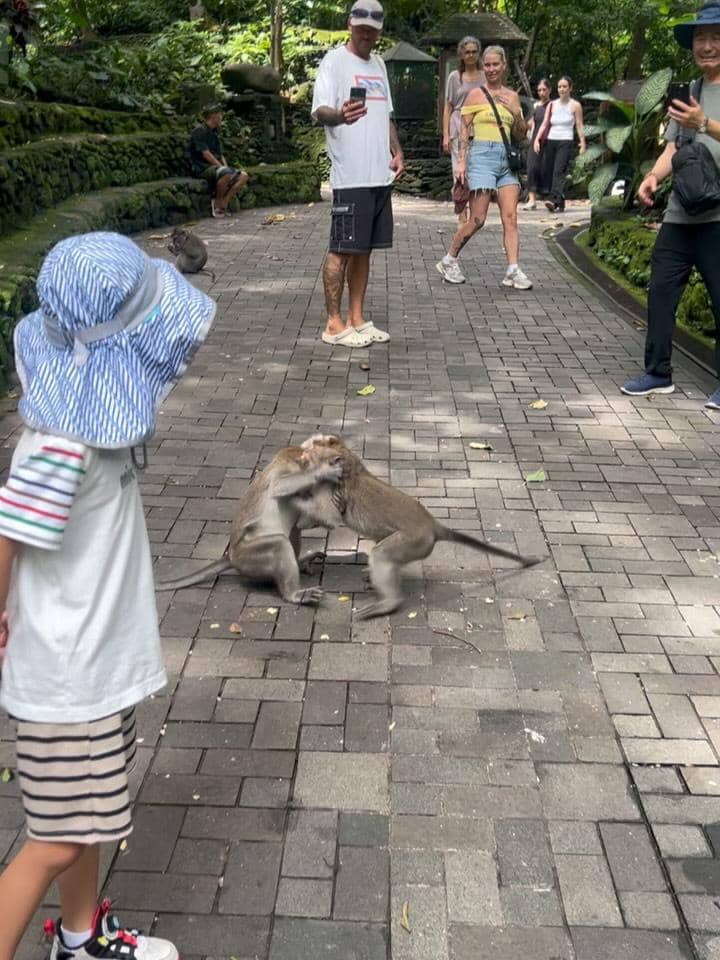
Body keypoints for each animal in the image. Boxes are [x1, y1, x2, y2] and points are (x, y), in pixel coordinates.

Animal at [156, 445, 342, 604]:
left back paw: (299, 562)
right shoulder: (286, 469)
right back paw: (293, 594)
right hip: (248, 556)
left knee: (294, 530)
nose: (337, 458)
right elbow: (278, 486)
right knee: (279, 543)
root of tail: (230, 556)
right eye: (328, 458)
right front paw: (324, 472)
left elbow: (303, 520)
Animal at [295, 434, 542, 620]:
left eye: (315, 451)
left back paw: (390, 602)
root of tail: (432, 525)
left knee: (382, 553)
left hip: (412, 541)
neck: (349, 467)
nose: (305, 449)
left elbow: (324, 518)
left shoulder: (333, 489)